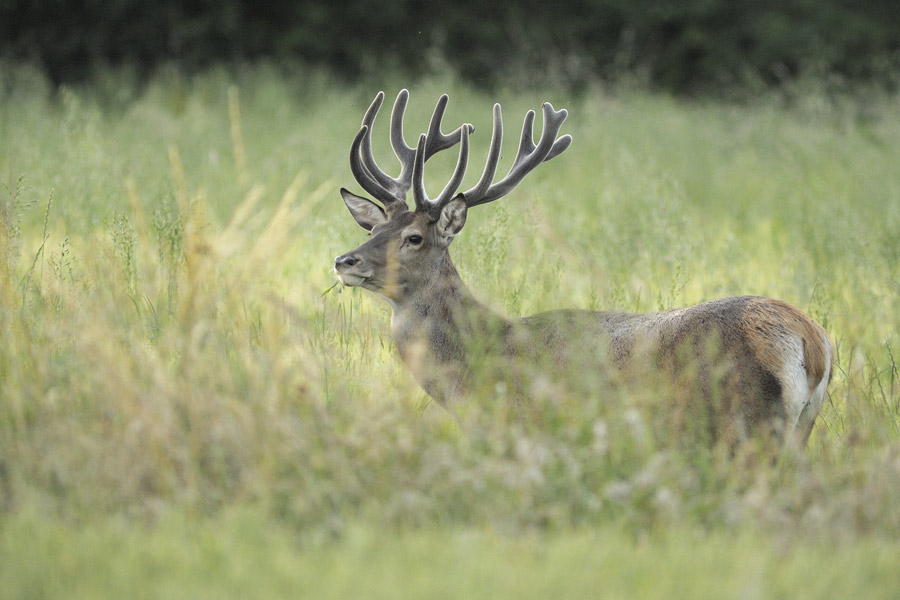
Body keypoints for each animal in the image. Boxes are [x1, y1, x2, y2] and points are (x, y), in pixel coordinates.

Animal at [334, 88, 832, 446]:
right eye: (372, 228)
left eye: (414, 238)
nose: (344, 260)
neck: (475, 368)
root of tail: (813, 341)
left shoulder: (530, 432)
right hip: (800, 428)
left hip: (747, 423)